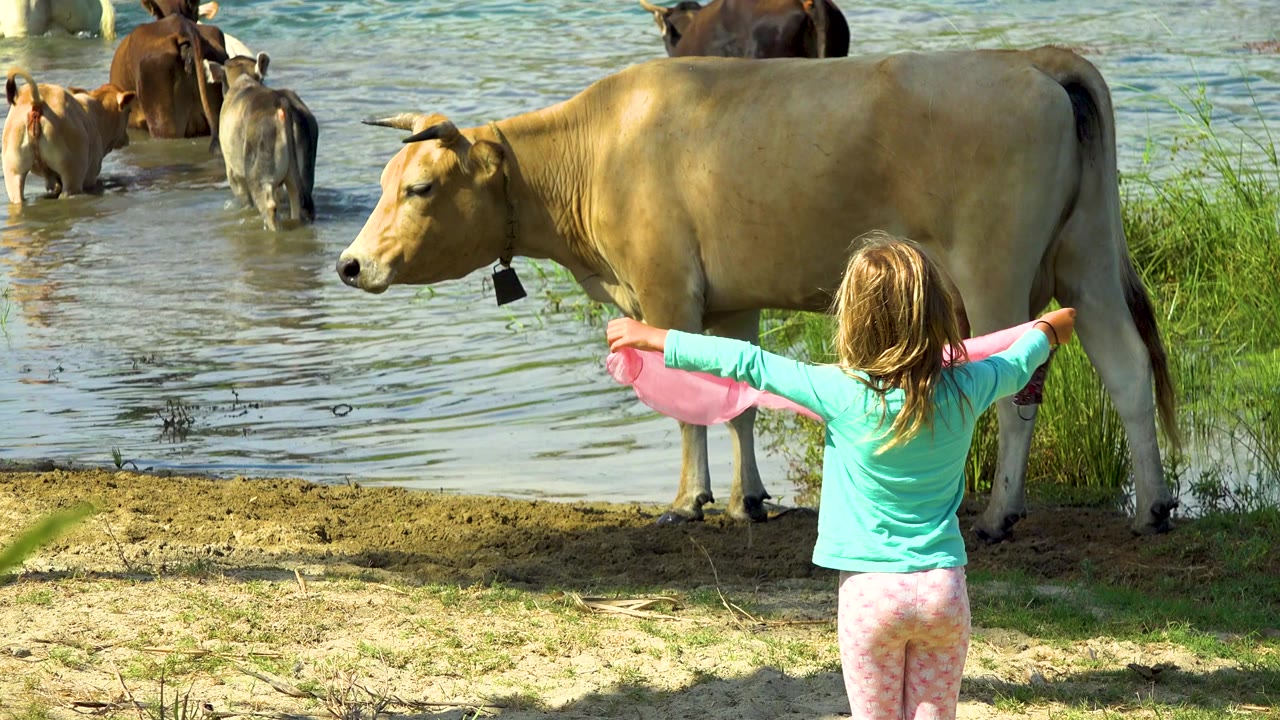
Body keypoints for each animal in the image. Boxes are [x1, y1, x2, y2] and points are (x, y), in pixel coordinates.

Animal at [207, 53, 318, 230]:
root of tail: (281, 101)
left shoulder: (233, 172)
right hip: (303, 174)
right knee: (298, 201)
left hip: (258, 172)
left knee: (269, 206)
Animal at [335, 48, 1180, 540]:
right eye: (383, 182)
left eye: (419, 187)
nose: (348, 264)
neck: (597, 148)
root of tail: (1036, 61)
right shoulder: (732, 298)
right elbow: (737, 400)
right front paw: (749, 500)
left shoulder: (665, 286)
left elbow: (687, 404)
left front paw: (688, 502)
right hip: (1086, 259)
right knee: (1126, 368)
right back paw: (1153, 507)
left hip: (994, 268)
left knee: (1019, 390)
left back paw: (1001, 514)